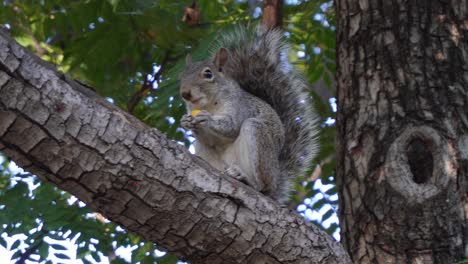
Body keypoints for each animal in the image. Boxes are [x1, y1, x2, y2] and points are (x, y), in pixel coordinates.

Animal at [179, 25, 318, 203]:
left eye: (208, 74)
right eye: (182, 75)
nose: (185, 93)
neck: (209, 104)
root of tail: (275, 183)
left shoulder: (240, 107)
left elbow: (232, 126)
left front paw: (206, 119)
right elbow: (209, 139)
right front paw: (185, 122)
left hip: (257, 138)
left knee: (261, 186)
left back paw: (247, 179)